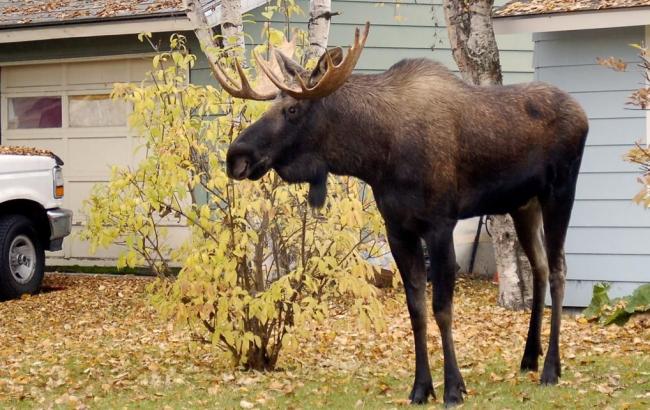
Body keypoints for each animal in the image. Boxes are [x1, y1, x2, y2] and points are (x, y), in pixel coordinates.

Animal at [210, 24, 588, 406]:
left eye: (292, 109)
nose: (236, 156)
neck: (376, 155)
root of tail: (582, 113)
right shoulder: (398, 228)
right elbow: (415, 309)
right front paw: (421, 387)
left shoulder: (440, 224)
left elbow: (442, 308)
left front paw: (454, 387)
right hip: (523, 204)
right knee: (540, 268)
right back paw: (529, 356)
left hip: (560, 192)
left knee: (559, 270)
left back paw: (551, 368)